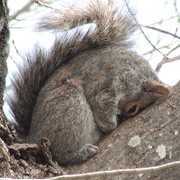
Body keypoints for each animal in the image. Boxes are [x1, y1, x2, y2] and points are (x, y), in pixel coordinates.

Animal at [6, 0, 172, 166]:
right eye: (133, 109)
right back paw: (81, 153)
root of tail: (32, 136)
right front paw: (111, 124)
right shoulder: (108, 81)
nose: (124, 116)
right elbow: (101, 106)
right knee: (58, 154)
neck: (137, 75)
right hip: (69, 107)